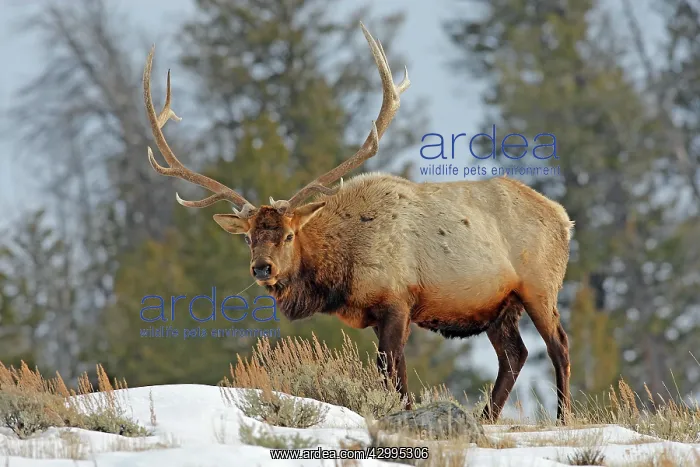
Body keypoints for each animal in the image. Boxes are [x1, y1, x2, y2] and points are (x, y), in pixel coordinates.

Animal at [142, 22, 574, 424]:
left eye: (288, 234)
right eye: (248, 238)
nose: (262, 268)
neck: (340, 271)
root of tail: (564, 217)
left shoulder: (397, 300)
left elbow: (392, 370)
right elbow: (391, 372)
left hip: (540, 286)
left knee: (559, 346)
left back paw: (562, 416)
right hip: (501, 305)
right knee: (515, 354)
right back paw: (486, 417)